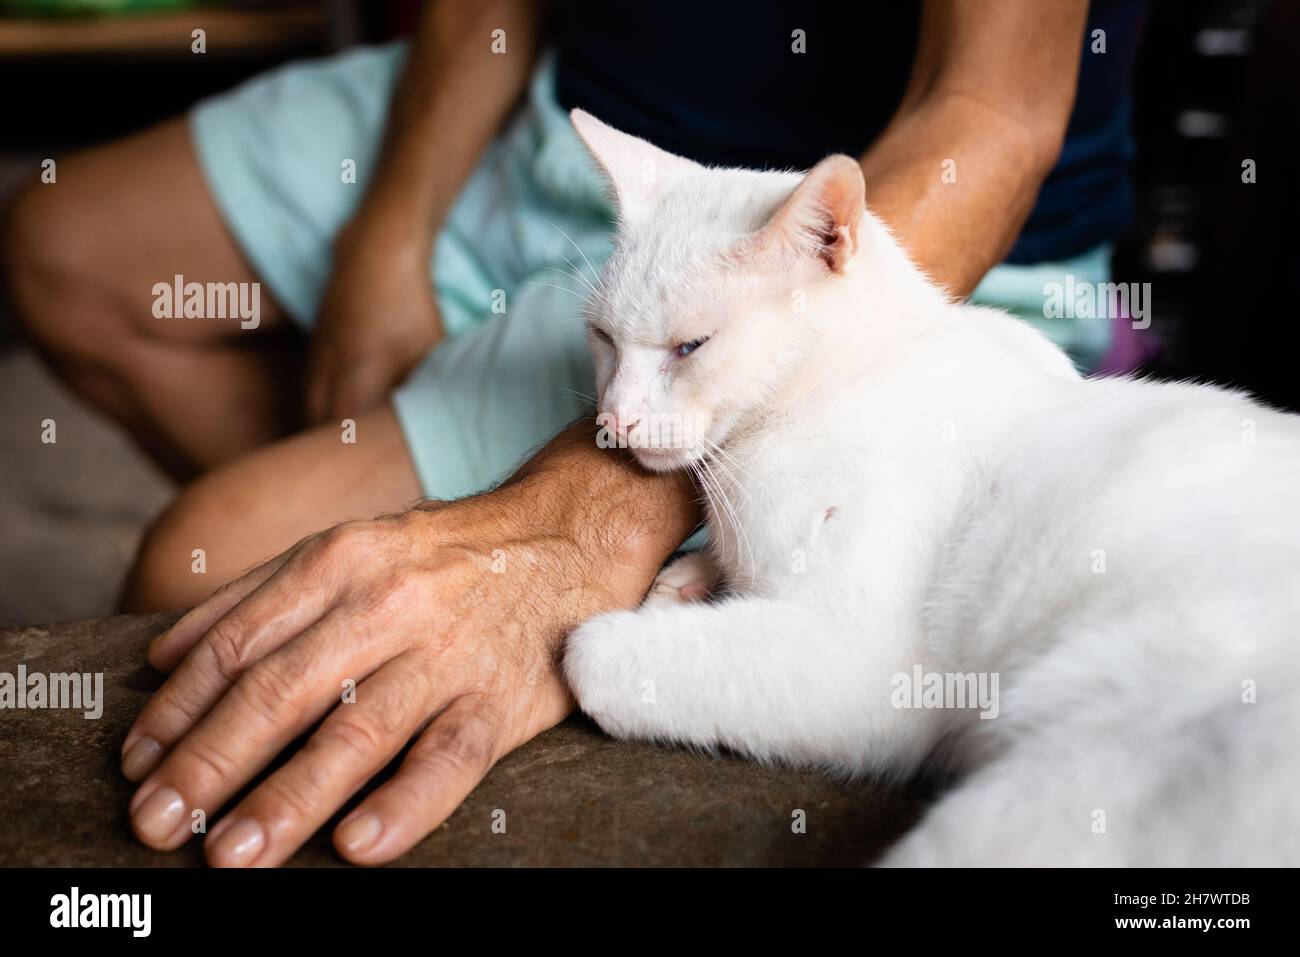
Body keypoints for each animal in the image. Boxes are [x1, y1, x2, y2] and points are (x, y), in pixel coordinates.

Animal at [564, 111, 1300, 868]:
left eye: (692, 347)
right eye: (604, 338)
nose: (615, 420)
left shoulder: (860, 664)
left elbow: (591, 654)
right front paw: (692, 578)